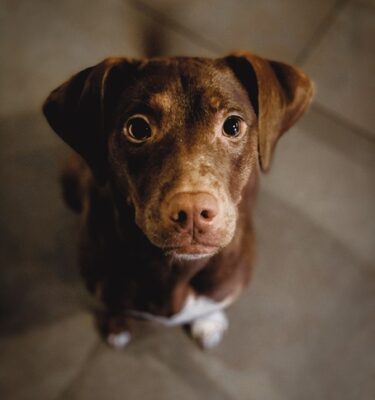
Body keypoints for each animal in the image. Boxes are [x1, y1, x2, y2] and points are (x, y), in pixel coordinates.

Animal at [43, 52, 314, 346]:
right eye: (137, 128)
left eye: (232, 126)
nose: (193, 211)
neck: (176, 270)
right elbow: (117, 305)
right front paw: (117, 325)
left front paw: (208, 322)